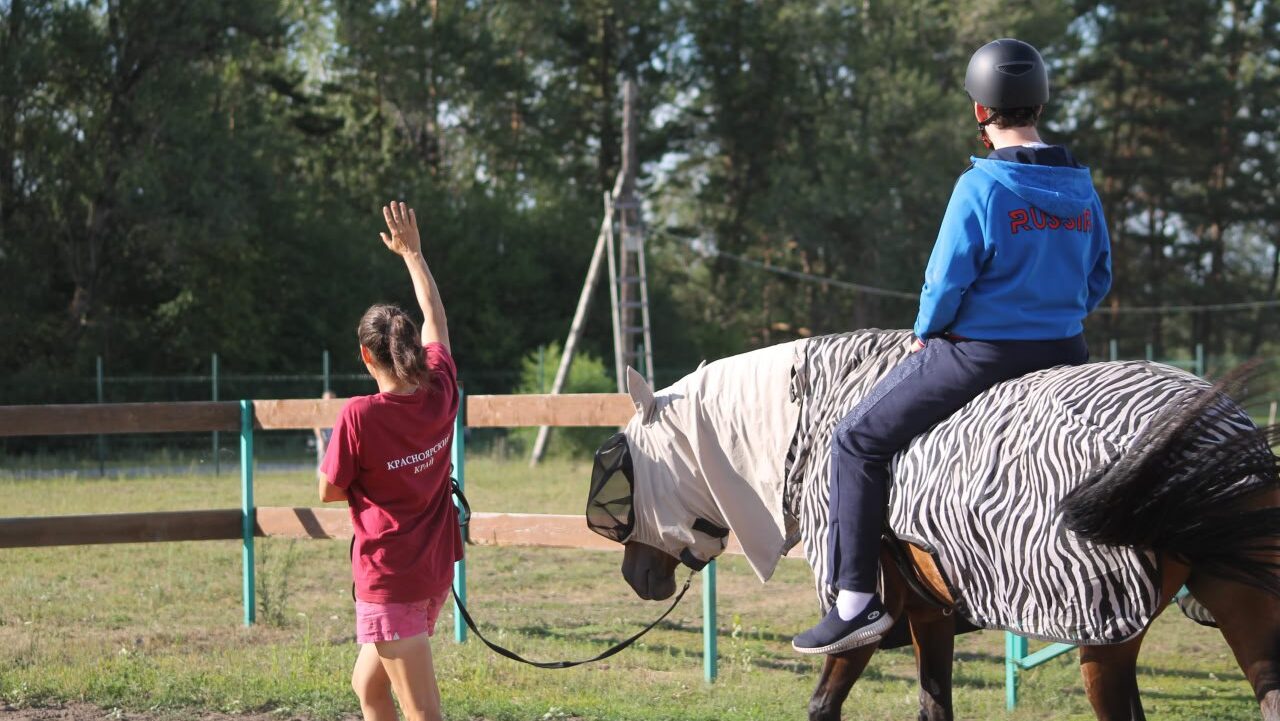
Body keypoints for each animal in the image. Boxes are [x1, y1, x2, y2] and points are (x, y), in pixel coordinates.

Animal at [586, 330, 1280, 721]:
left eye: (627, 471)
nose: (635, 577)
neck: (821, 417)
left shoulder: (862, 616)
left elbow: (823, 702)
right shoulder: (930, 614)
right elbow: (932, 706)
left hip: (1104, 635)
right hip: (1236, 604)